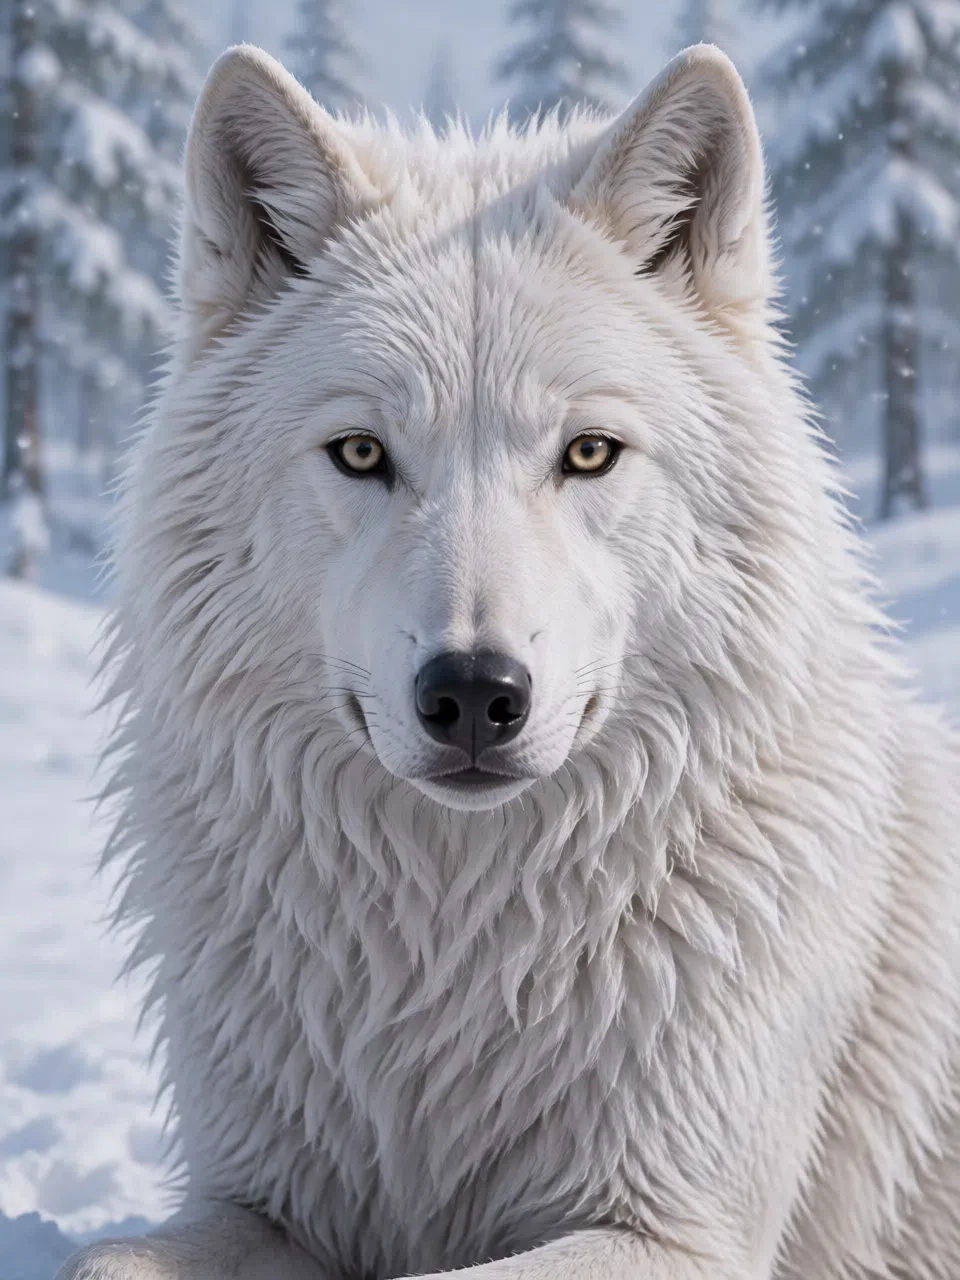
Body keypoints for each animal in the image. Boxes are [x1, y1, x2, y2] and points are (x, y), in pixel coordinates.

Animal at [61, 39, 960, 1280]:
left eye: (588, 452)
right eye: (361, 453)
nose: (475, 693)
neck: (458, 935)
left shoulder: (676, 1229)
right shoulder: (262, 1197)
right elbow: (104, 1257)